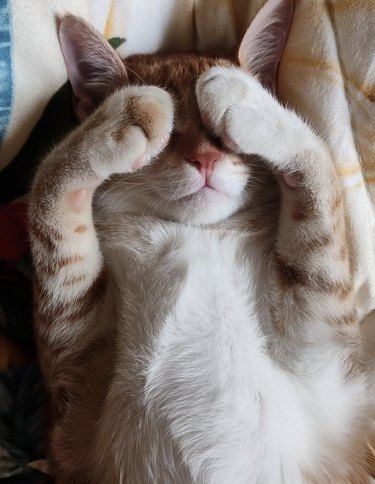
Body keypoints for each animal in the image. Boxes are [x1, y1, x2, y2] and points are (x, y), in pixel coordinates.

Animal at [28, 1, 370, 482]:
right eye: (170, 135)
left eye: (221, 138)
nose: (205, 159)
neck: (195, 234)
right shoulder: (71, 376)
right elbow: (51, 192)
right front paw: (116, 123)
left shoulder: (323, 343)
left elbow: (317, 163)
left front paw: (252, 105)